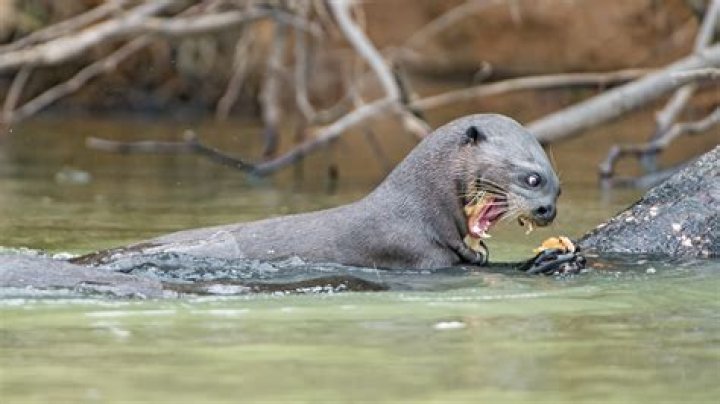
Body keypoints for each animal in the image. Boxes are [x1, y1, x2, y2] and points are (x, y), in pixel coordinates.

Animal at [75, 114, 581, 274]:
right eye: (532, 179)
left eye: (559, 187)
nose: (548, 210)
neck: (416, 210)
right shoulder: (414, 253)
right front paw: (543, 261)